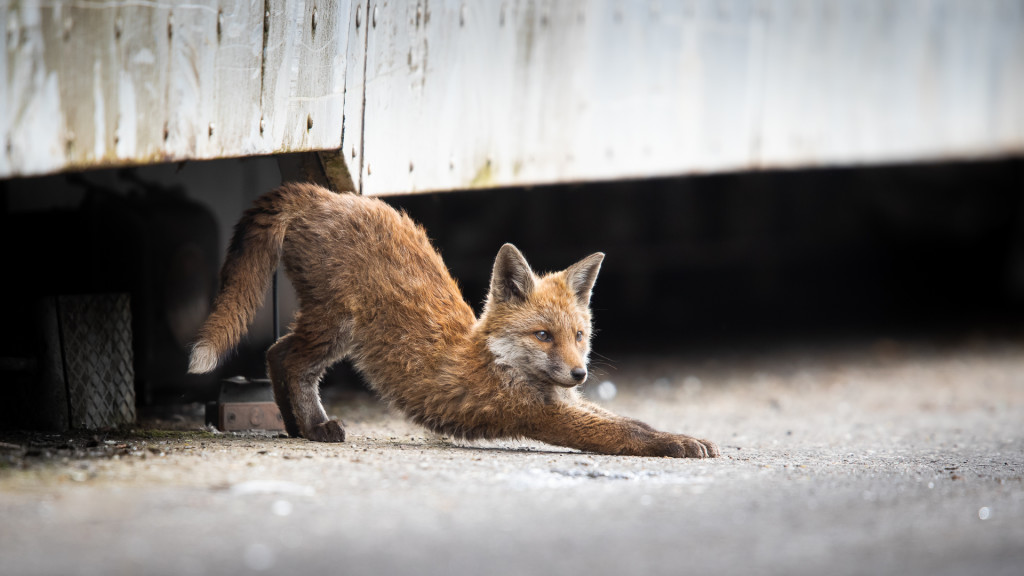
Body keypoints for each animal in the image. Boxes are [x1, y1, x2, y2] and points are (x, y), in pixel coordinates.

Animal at [190, 182, 720, 457]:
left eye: (579, 336)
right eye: (543, 335)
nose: (579, 373)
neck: (497, 359)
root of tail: (324, 194)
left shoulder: (567, 402)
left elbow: (634, 420)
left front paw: (683, 435)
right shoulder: (540, 414)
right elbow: (631, 433)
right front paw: (679, 443)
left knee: (280, 355)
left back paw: (299, 426)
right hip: (335, 328)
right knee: (283, 357)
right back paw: (312, 427)